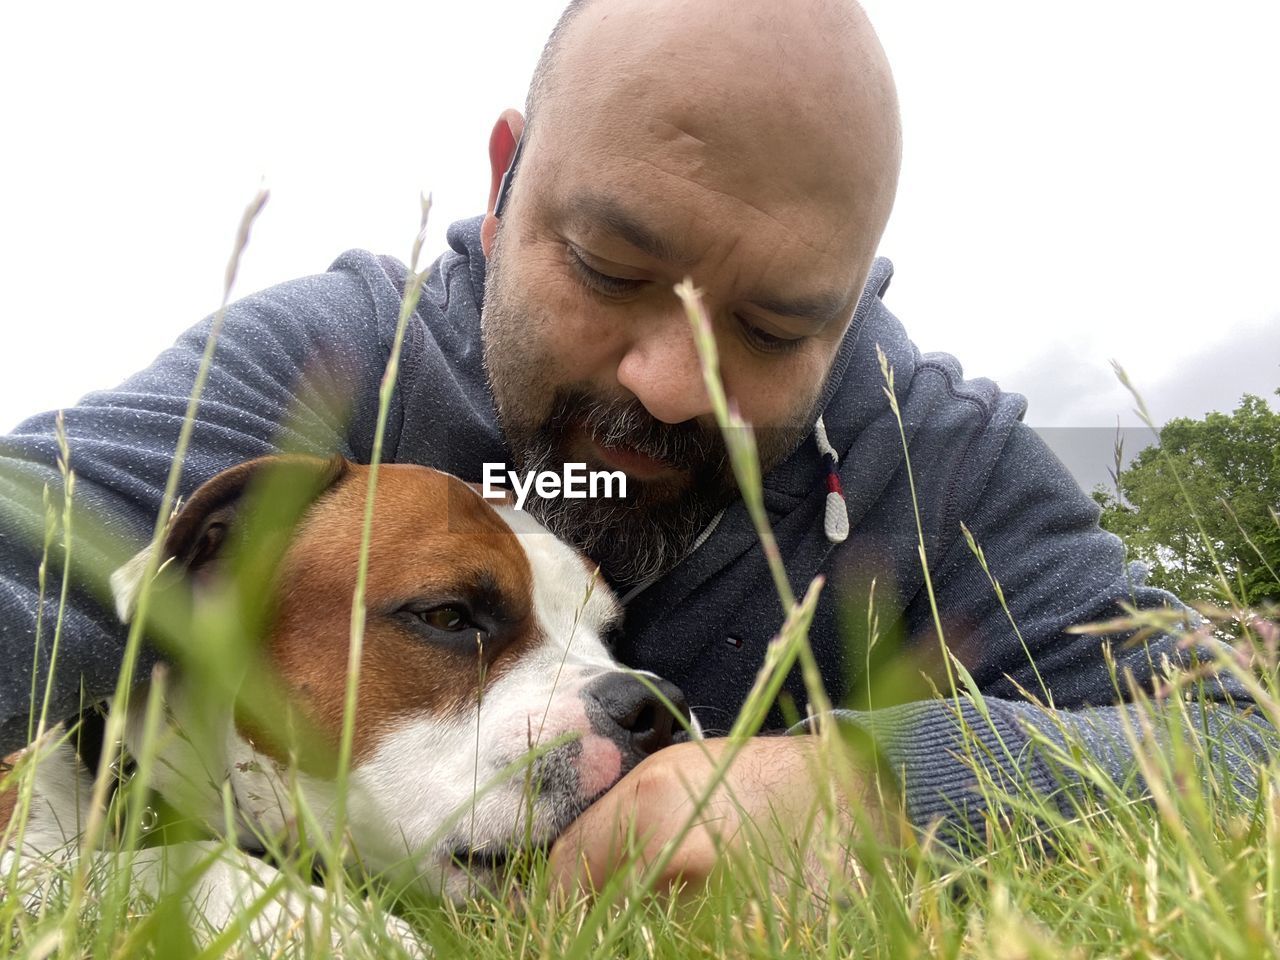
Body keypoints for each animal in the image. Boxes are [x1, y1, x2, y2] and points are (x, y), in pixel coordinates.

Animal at [0, 455, 696, 947]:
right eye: (447, 614)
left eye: (610, 635)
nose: (657, 706)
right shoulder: (29, 864)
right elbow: (182, 860)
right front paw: (342, 926)